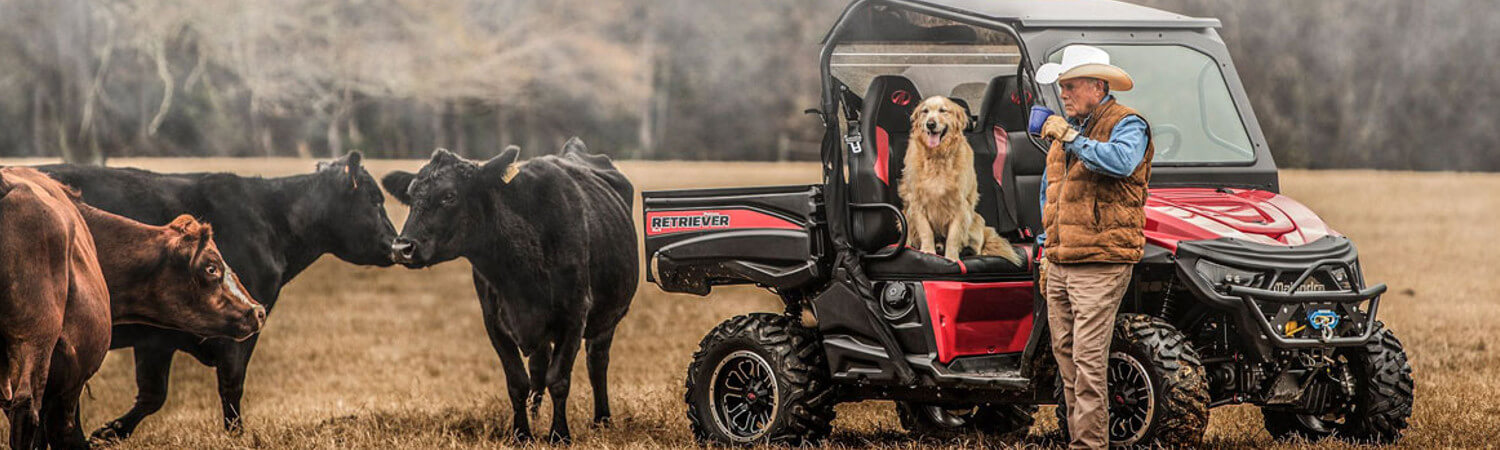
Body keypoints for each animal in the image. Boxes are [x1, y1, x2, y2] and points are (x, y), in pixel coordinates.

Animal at [35, 153, 399, 441]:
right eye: (375, 200)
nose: (400, 245)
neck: (272, 220)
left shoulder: (157, 339)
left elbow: (153, 394)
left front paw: (110, 432)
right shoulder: (237, 332)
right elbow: (232, 386)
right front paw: (236, 435)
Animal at [381, 138, 639, 444]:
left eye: (449, 196)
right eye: (411, 196)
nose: (402, 248)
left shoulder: (575, 315)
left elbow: (559, 379)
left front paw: (559, 435)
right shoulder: (494, 321)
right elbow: (517, 381)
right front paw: (522, 434)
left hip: (606, 320)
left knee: (596, 363)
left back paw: (602, 420)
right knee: (539, 367)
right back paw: (537, 416)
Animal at [900, 95, 1020, 264]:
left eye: (943, 110)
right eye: (925, 111)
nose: (930, 124)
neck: (937, 157)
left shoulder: (959, 205)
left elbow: (953, 236)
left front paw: (952, 258)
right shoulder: (917, 202)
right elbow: (926, 231)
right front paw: (928, 252)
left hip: (976, 220)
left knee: (977, 247)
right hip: (905, 217)